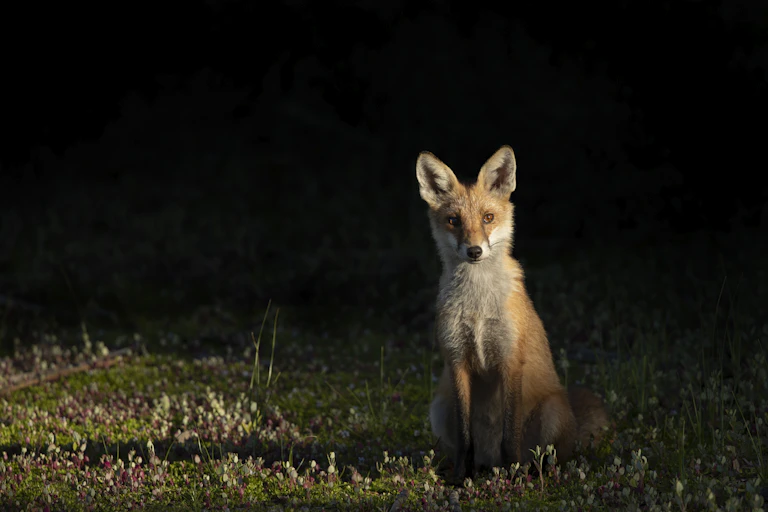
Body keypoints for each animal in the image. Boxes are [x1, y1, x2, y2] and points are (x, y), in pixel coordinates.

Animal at [416, 145, 609, 483]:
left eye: (488, 217)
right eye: (453, 220)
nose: (474, 251)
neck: (478, 308)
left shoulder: (509, 359)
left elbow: (510, 436)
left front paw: (512, 479)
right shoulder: (457, 359)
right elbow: (465, 437)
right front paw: (460, 479)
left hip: (552, 411)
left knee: (542, 456)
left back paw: (526, 472)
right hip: (439, 407)